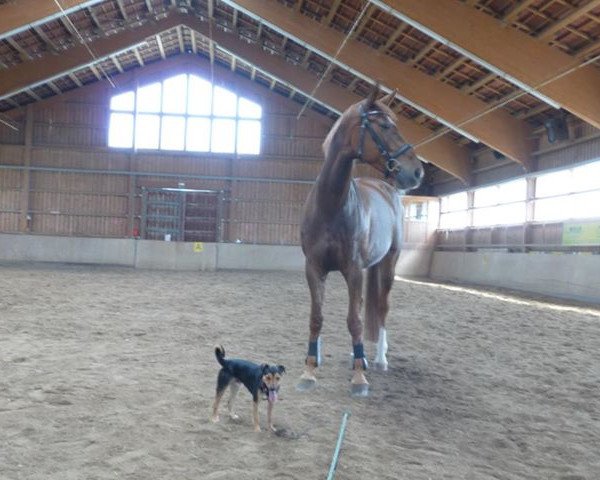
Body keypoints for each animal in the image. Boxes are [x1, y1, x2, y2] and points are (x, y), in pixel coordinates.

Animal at [298, 85, 424, 398]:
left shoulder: (352, 270)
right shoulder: (314, 268)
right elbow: (317, 317)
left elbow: (354, 321)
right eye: (385, 126)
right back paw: (360, 356)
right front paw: (309, 369)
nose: (417, 171)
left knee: (382, 308)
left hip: (389, 263)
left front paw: (359, 379)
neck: (331, 206)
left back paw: (378, 359)